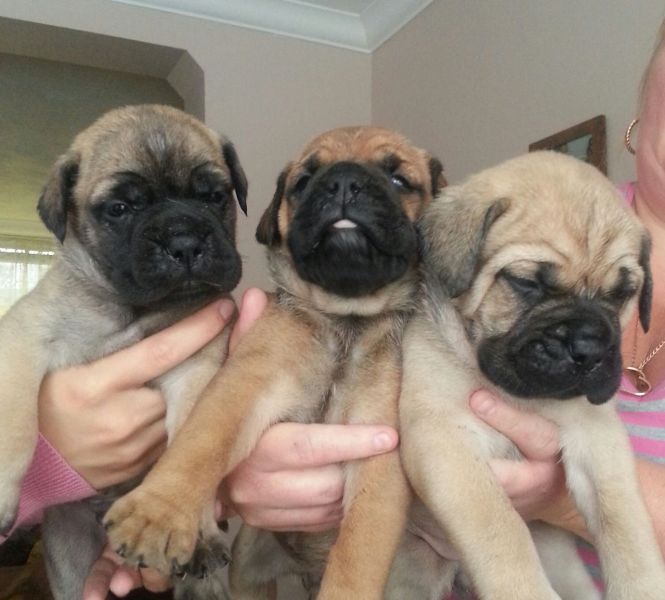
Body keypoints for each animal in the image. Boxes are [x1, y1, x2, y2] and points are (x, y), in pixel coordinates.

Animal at [0, 104, 248, 599]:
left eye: (214, 196)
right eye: (119, 209)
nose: (184, 242)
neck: (128, 310)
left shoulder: (195, 371)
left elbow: (192, 449)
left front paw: (192, 522)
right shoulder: (24, 335)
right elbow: (14, 418)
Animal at [102, 125, 445, 598]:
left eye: (399, 180)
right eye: (304, 181)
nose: (343, 183)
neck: (344, 320)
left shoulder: (379, 458)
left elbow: (356, 560)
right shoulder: (246, 385)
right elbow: (199, 445)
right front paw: (158, 512)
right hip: (250, 567)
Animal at [387, 151, 665, 599]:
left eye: (620, 294)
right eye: (526, 283)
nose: (588, 346)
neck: (518, 393)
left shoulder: (599, 437)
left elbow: (624, 522)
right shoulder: (444, 441)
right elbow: (500, 530)